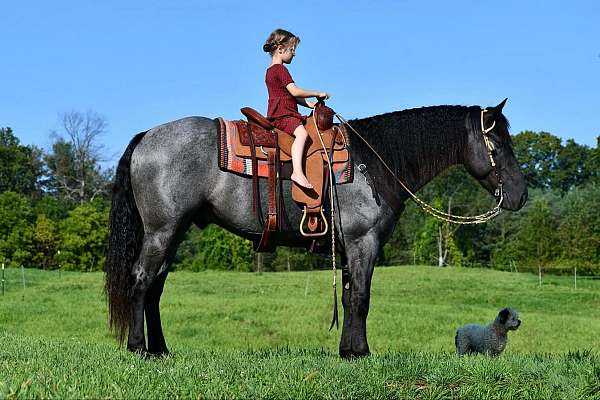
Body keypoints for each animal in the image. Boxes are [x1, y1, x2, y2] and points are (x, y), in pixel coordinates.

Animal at [105, 98, 528, 358]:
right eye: (497, 143)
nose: (520, 194)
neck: (375, 162)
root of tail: (147, 137)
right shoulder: (363, 242)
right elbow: (361, 298)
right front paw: (360, 353)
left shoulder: (350, 247)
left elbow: (349, 296)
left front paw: (347, 350)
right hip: (162, 230)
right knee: (141, 280)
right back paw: (139, 348)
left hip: (174, 231)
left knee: (156, 287)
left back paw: (161, 349)